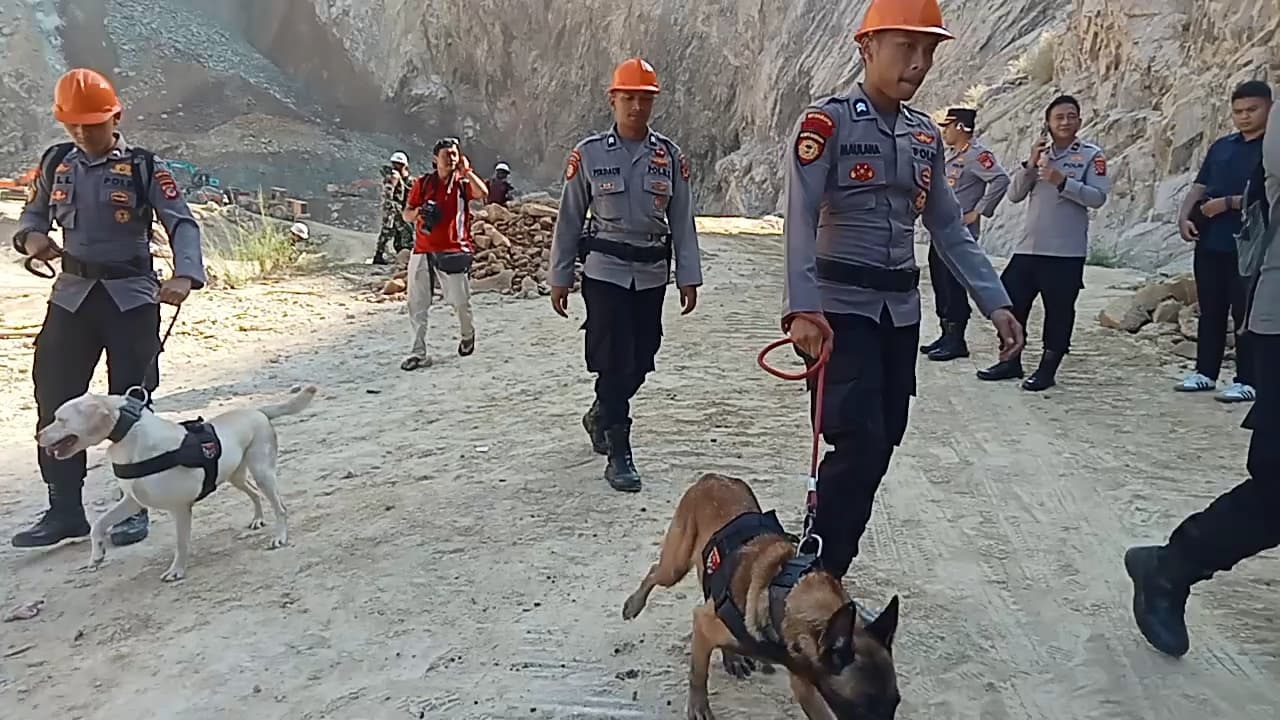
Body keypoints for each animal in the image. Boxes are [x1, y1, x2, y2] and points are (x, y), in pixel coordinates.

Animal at [35, 385, 318, 582]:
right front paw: (97, 555)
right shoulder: (132, 501)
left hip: (263, 472)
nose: (37, 435)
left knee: (280, 507)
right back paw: (258, 519)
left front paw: (177, 571)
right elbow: (98, 525)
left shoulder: (180, 508)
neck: (129, 436)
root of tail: (257, 411)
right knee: (254, 493)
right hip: (235, 476)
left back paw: (279, 537)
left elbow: (181, 543)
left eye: (61, 419)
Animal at [622, 472, 900, 719]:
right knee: (654, 572)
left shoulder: (806, 682)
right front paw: (699, 707)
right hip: (675, 566)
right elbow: (698, 674)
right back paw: (633, 605)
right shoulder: (703, 622)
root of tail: (712, 477)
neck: (786, 593)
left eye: (896, 703)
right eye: (862, 709)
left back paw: (732, 657)